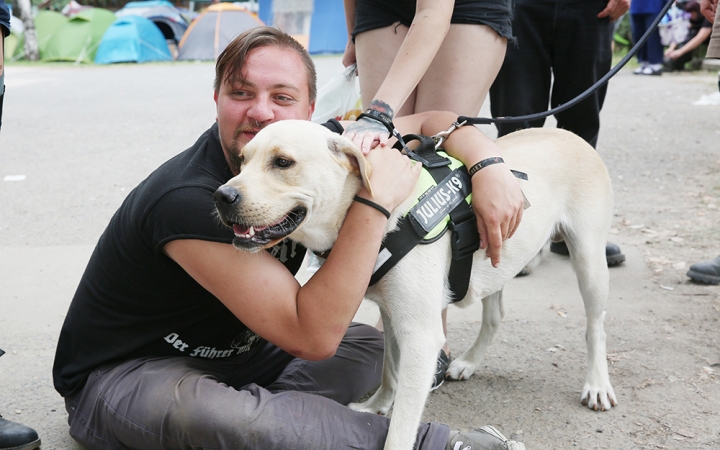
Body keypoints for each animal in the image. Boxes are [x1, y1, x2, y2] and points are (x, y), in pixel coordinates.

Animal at [212, 119, 612, 450]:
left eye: (283, 163)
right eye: (242, 160)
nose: (221, 196)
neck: (370, 213)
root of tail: (568, 134)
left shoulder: (420, 335)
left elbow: (401, 428)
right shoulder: (392, 315)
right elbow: (390, 368)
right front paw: (376, 407)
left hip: (589, 259)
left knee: (595, 326)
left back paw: (597, 385)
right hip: (500, 254)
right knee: (495, 314)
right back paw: (468, 362)